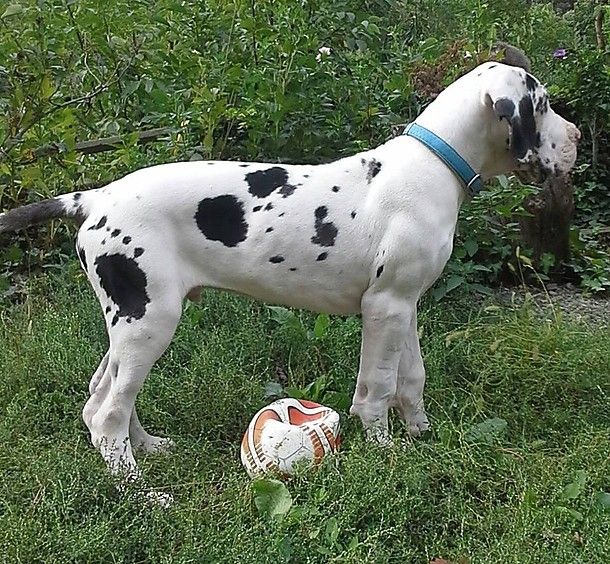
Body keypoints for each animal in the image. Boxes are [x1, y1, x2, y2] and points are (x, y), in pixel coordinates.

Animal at [0, 62, 580, 502]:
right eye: (544, 105)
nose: (576, 139)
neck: (434, 165)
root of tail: (95, 197)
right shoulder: (384, 307)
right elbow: (376, 388)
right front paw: (385, 449)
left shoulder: (406, 305)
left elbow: (411, 379)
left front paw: (421, 433)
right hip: (150, 323)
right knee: (107, 413)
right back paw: (138, 491)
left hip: (133, 326)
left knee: (100, 396)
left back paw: (146, 449)